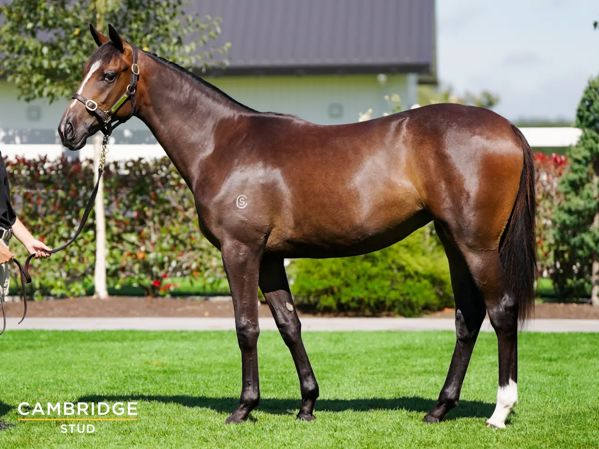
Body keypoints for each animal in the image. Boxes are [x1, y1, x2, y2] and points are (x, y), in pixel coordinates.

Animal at [58, 25, 535, 428]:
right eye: (85, 70)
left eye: (109, 74)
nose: (68, 130)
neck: (221, 143)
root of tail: (509, 129)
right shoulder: (270, 258)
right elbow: (289, 325)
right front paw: (307, 404)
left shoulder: (240, 251)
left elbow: (246, 326)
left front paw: (244, 408)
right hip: (453, 241)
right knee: (467, 317)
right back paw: (439, 408)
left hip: (476, 246)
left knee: (501, 310)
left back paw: (500, 410)